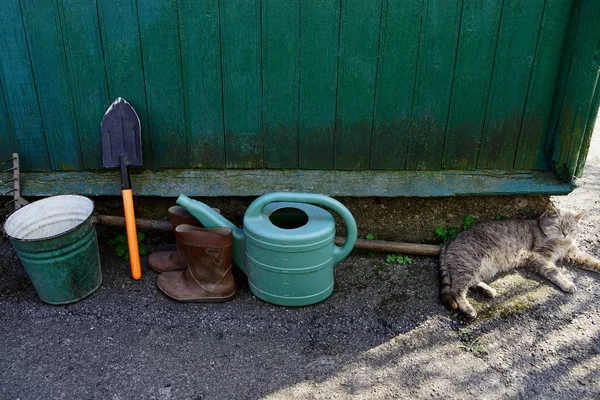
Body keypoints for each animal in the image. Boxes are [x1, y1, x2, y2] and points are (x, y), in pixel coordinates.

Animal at [438, 206, 596, 318]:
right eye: (559, 227)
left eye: (571, 228)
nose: (565, 233)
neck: (561, 242)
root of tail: (448, 242)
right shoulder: (539, 256)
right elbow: (554, 271)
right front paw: (567, 283)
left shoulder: (573, 253)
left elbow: (591, 260)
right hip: (470, 264)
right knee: (456, 290)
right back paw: (468, 309)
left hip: (484, 268)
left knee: (472, 282)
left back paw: (488, 290)